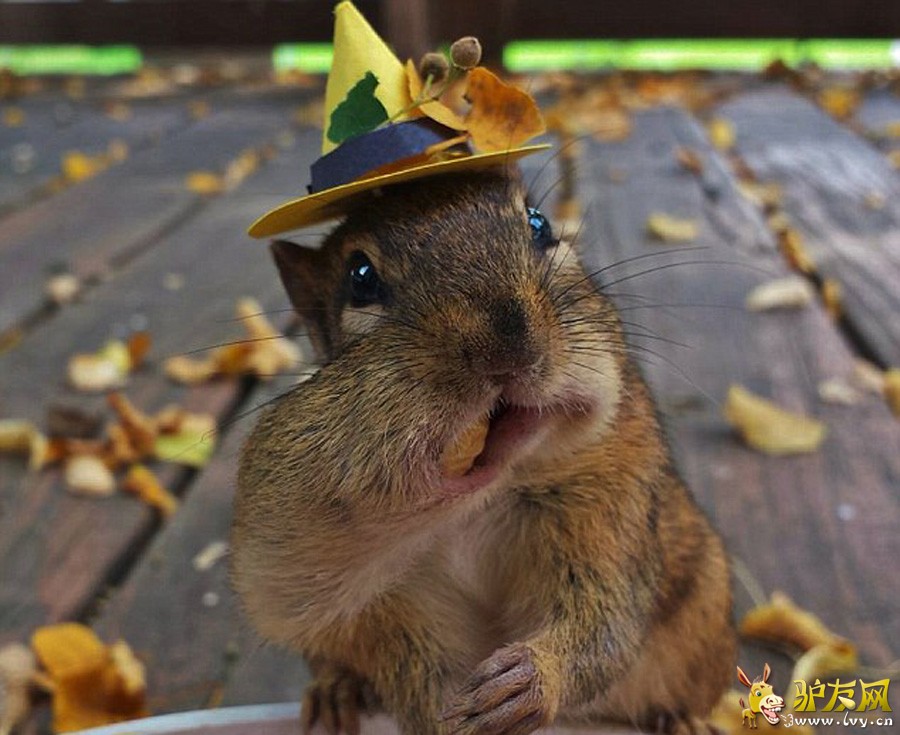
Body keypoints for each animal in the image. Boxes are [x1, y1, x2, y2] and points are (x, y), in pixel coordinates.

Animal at [231, 167, 736, 735]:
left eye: (539, 224)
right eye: (359, 277)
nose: (507, 344)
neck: (472, 504)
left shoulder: (606, 504)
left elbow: (604, 623)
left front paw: (534, 678)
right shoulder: (388, 604)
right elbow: (411, 670)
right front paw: (440, 715)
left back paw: (682, 719)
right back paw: (336, 691)